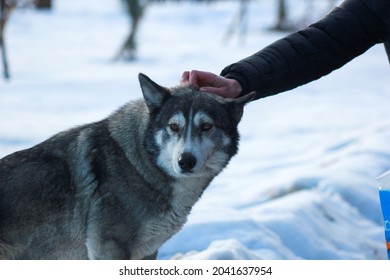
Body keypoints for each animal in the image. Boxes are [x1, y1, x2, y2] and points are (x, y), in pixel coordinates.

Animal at [0, 73, 254, 260]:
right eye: (173, 126)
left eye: (206, 126)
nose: (186, 161)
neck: (138, 165)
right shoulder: (108, 249)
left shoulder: (147, 252)